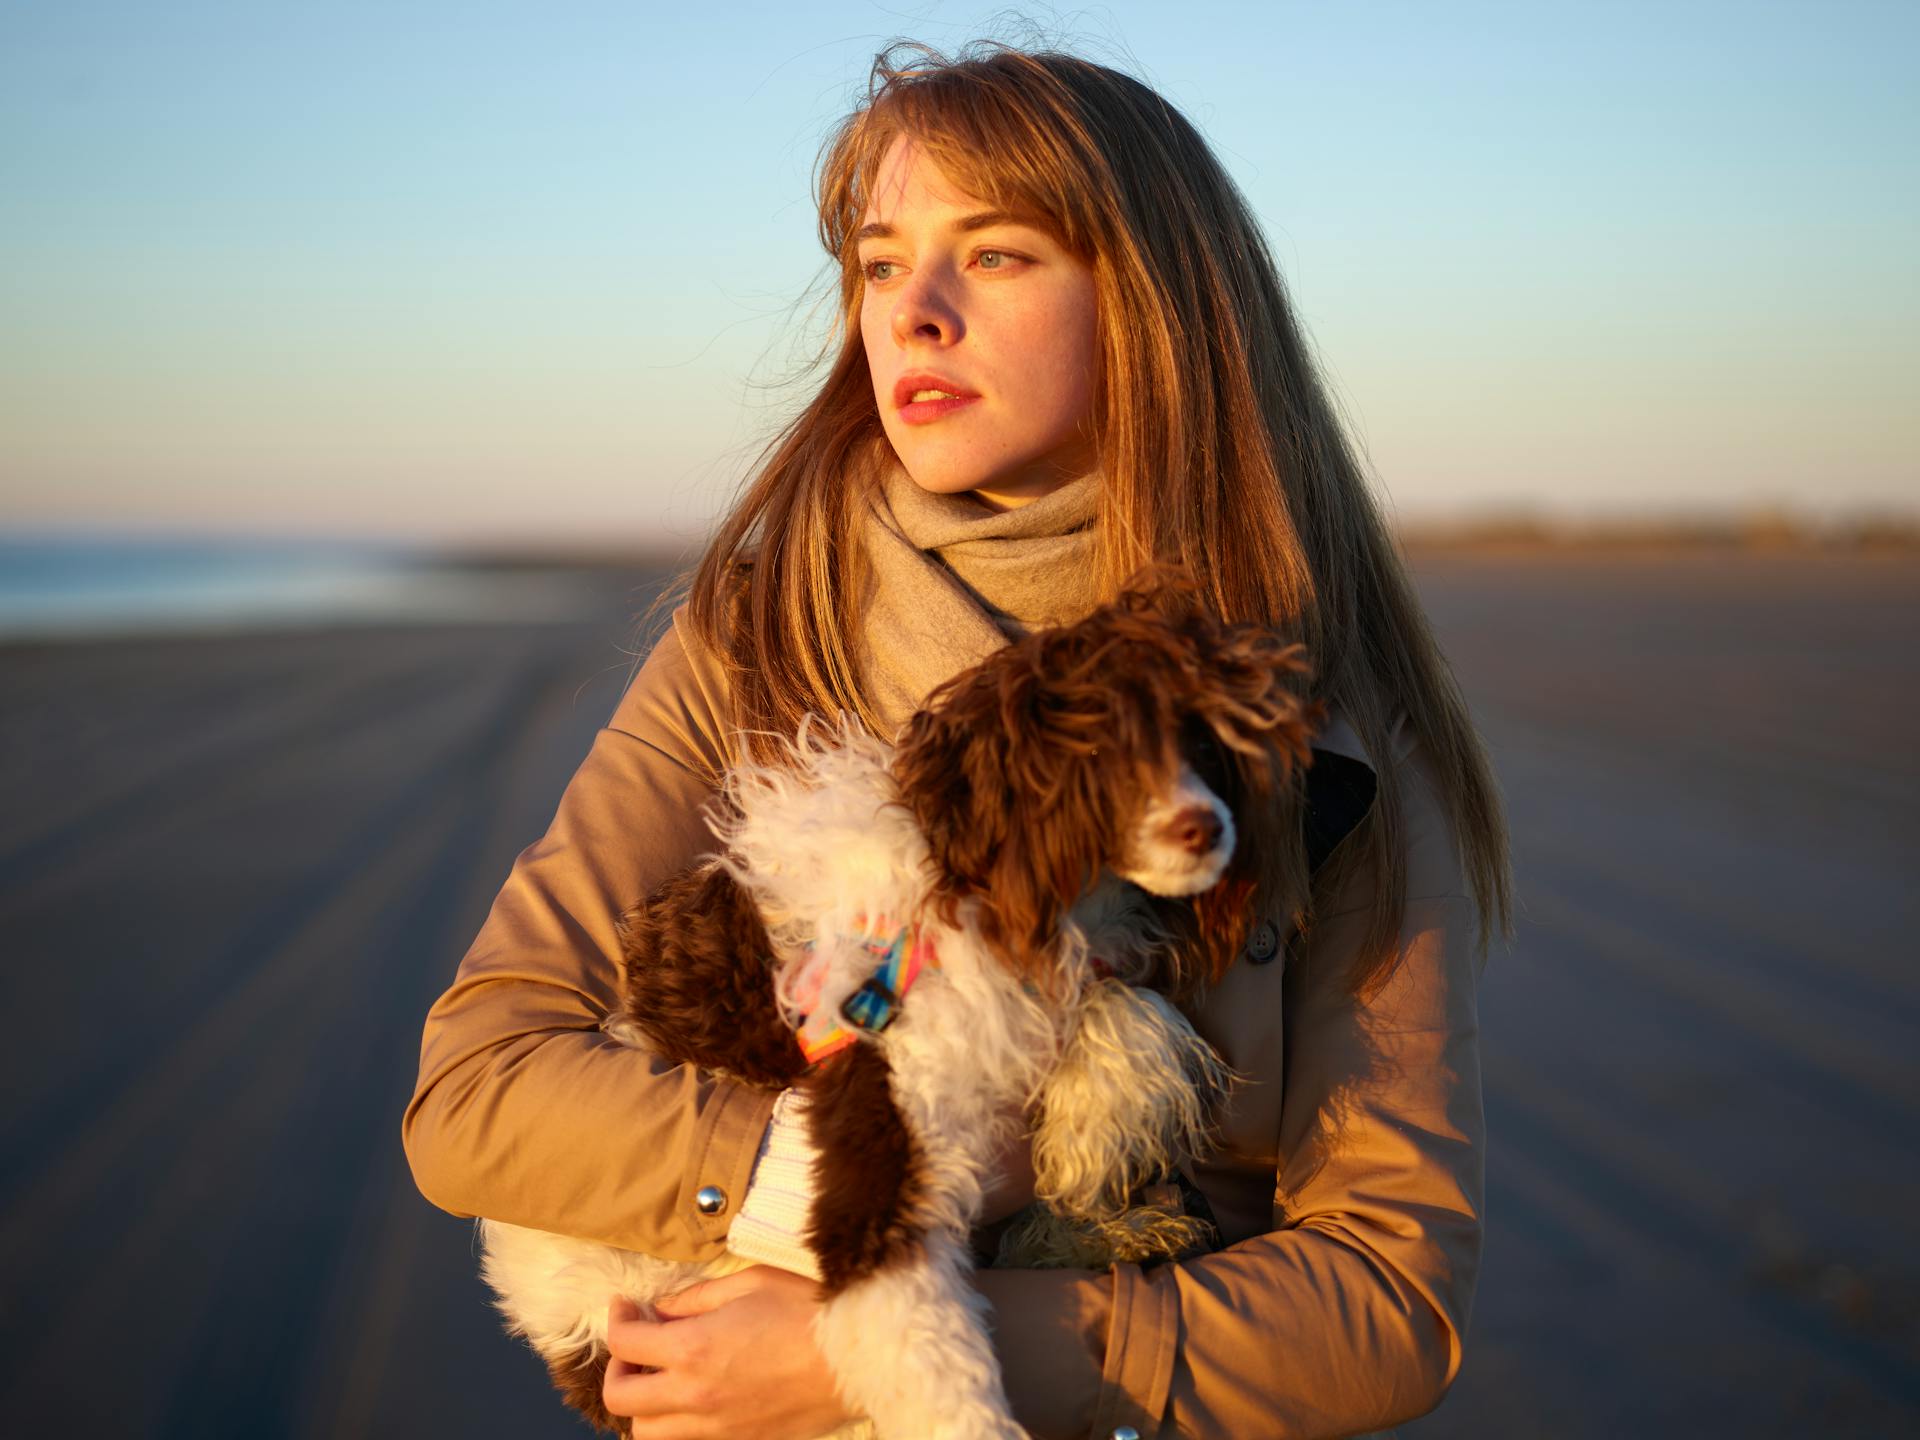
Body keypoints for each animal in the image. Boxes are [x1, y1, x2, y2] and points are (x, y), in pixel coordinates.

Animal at [478, 568, 1320, 1436]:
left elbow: (1126, 1009)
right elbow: (927, 1352)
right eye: (1097, 752)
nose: (1206, 829)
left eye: (1205, 747)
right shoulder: (873, 1144)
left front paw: (1095, 1137)